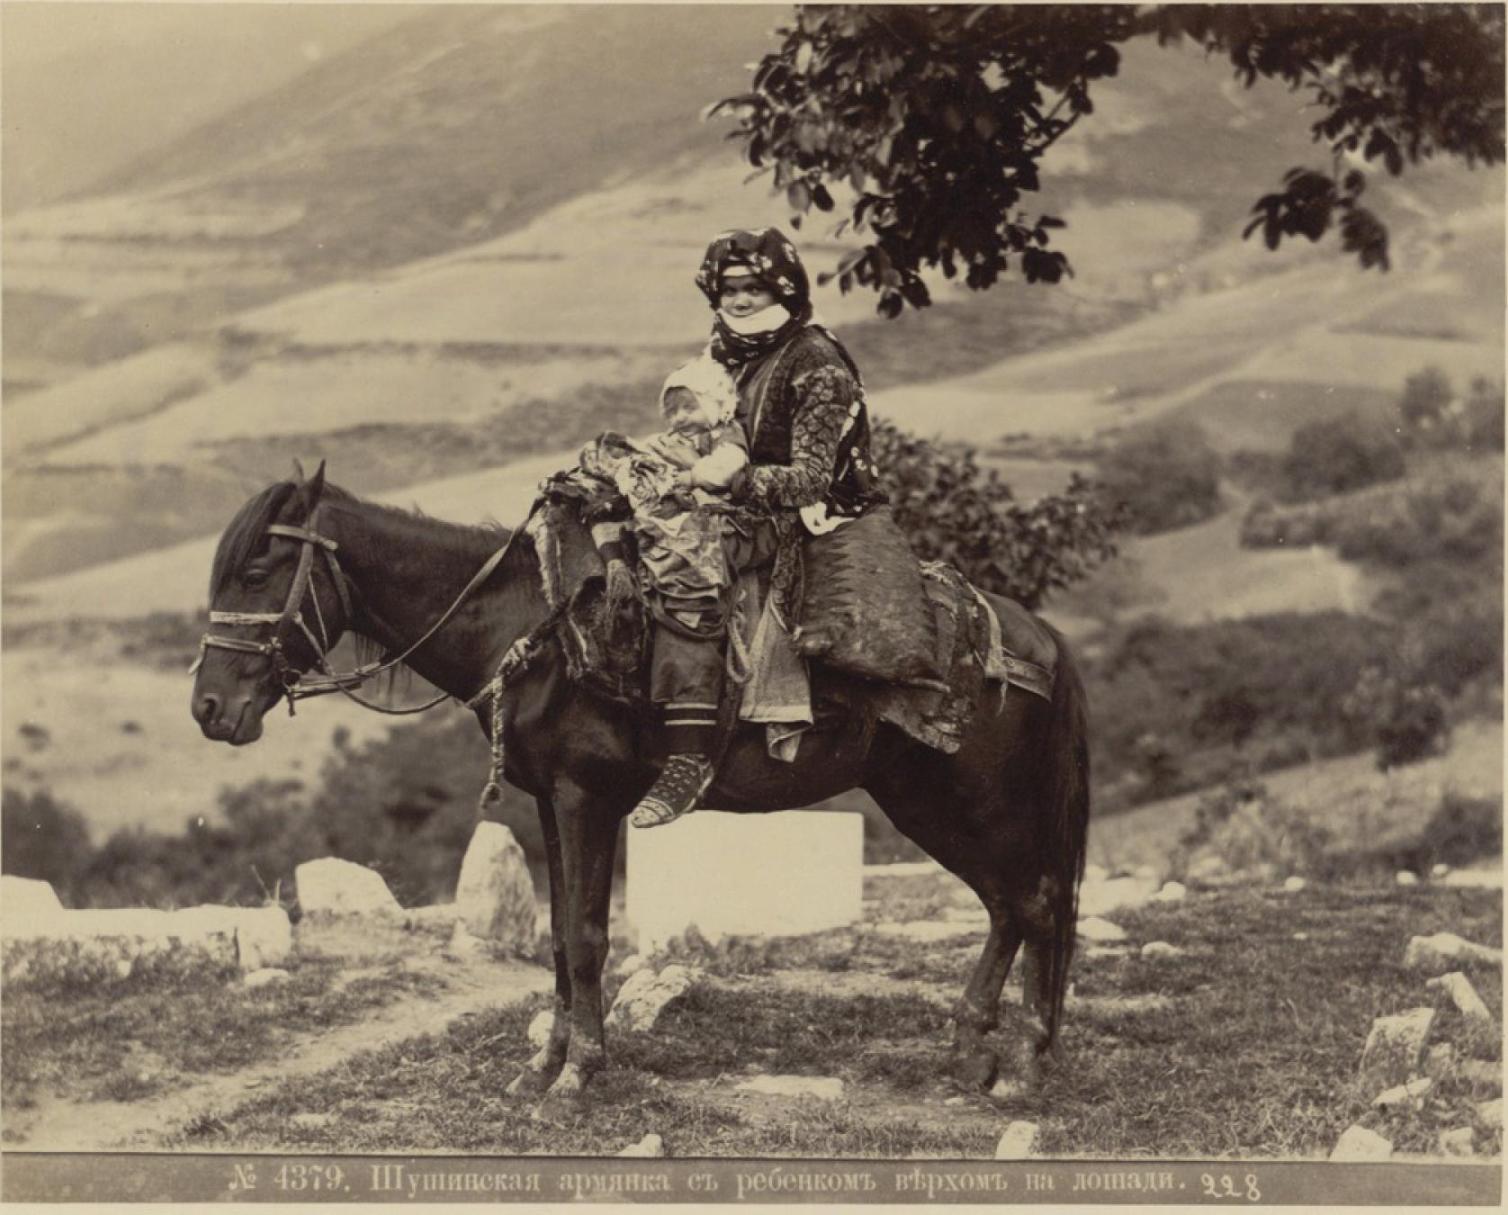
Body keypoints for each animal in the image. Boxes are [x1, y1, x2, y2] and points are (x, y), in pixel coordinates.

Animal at [190, 463, 1091, 1099]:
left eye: (259, 570)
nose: (208, 706)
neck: (531, 626)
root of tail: (1034, 632)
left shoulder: (586, 799)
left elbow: (589, 936)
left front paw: (579, 1073)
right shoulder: (550, 804)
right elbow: (560, 935)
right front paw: (543, 1066)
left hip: (973, 798)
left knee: (1037, 900)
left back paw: (1024, 1064)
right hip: (928, 802)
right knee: (1008, 904)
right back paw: (971, 1049)